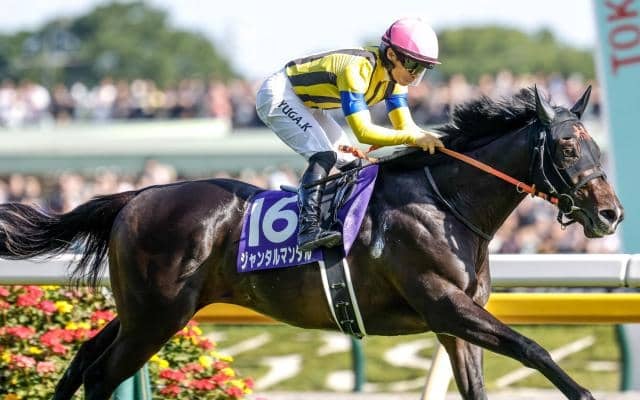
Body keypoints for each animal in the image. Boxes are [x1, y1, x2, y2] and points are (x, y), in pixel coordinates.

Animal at [0, 86, 623, 400]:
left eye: (595, 146)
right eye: (568, 147)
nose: (611, 214)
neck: (448, 203)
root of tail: (136, 196)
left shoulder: (454, 324)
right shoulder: (443, 303)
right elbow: (534, 349)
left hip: (143, 311)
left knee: (83, 361)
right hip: (158, 317)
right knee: (101, 376)